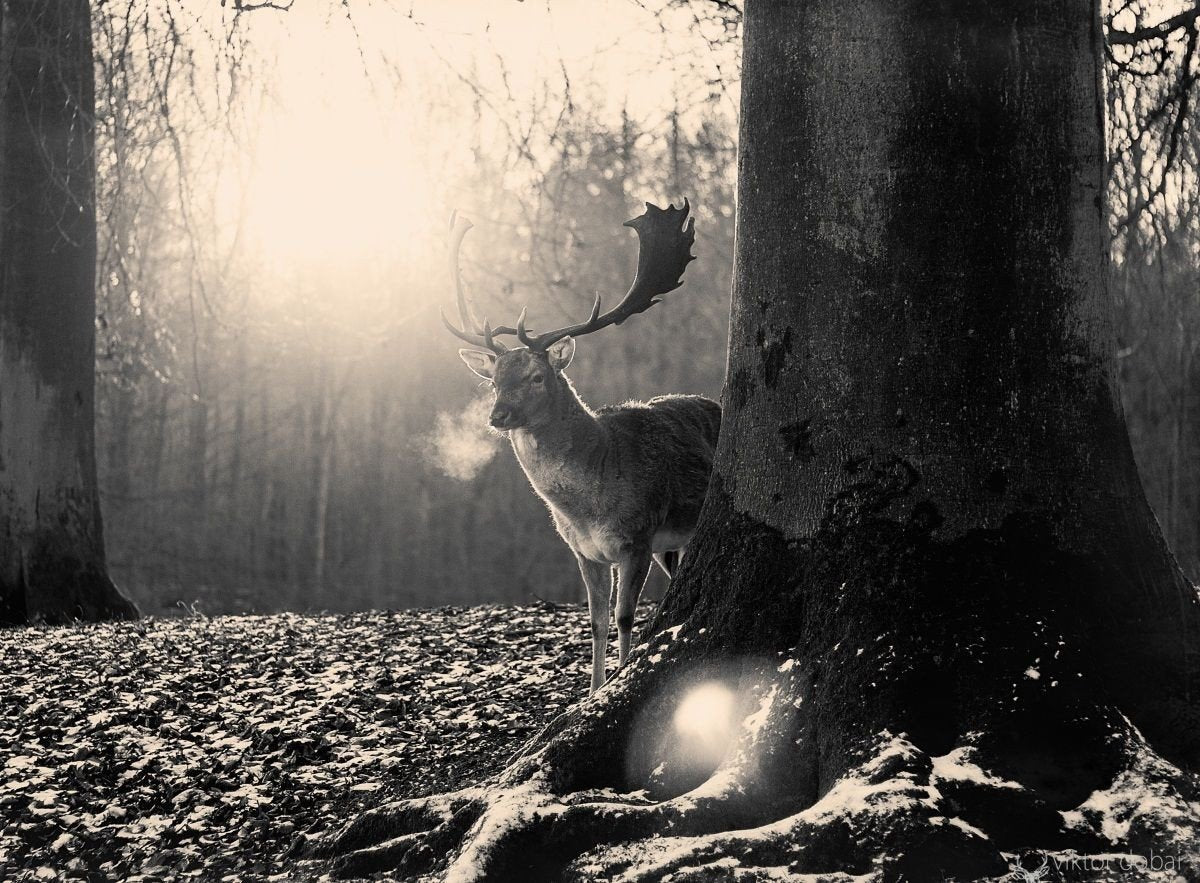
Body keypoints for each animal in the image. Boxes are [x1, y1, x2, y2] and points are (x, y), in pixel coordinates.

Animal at [442, 200, 721, 693]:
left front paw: (619, 679)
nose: (498, 416)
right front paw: (590, 691)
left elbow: (625, 616)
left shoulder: (636, 537)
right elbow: (596, 621)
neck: (588, 504)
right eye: (494, 381)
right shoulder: (583, 551)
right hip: (672, 544)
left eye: (537, 376)